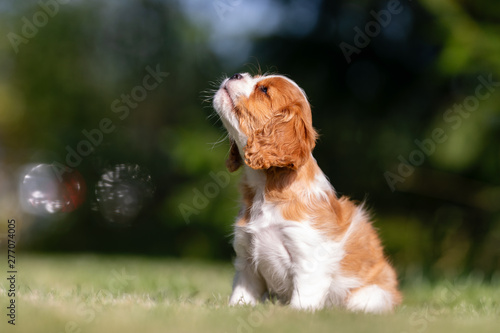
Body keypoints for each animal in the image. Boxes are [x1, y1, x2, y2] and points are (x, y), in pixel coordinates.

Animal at [213, 72, 400, 312]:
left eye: (264, 90)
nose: (237, 74)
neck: (265, 187)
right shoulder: (246, 261)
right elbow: (241, 294)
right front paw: (235, 309)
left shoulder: (309, 258)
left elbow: (303, 298)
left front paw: (296, 315)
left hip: (370, 296)